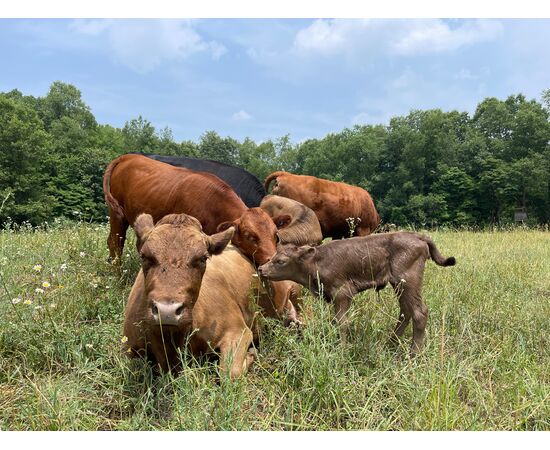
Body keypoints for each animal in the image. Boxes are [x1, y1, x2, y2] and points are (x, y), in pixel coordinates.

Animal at [103, 154, 278, 266]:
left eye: (276, 235)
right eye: (249, 236)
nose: (271, 259)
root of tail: (128, 156)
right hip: (117, 215)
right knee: (115, 244)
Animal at [123, 213, 300, 377]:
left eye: (203, 258)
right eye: (144, 256)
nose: (167, 311)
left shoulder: (238, 331)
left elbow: (230, 372)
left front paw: (251, 354)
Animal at [257, 232, 456, 355]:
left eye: (280, 261)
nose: (260, 269)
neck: (315, 262)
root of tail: (417, 235)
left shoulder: (342, 293)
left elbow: (342, 322)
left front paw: (342, 350)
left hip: (408, 281)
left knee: (419, 312)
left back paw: (414, 353)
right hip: (399, 285)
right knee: (405, 311)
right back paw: (389, 344)